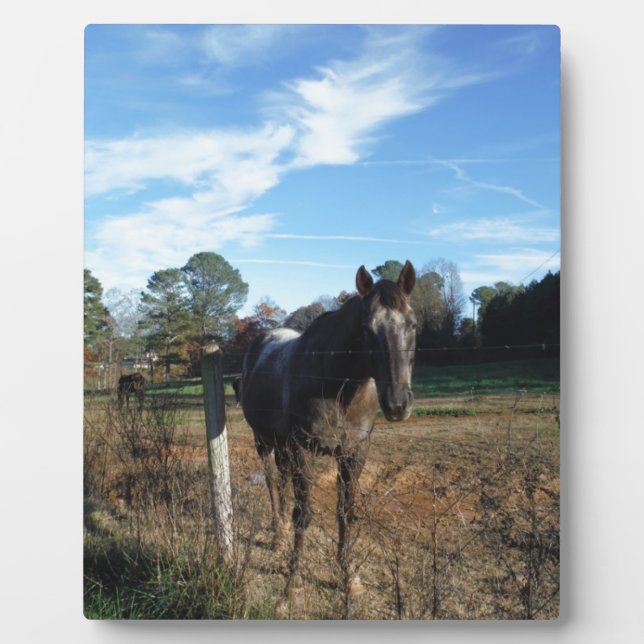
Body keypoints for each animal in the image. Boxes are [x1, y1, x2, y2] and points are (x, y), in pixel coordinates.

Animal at [241, 261, 417, 599]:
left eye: (412, 325)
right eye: (367, 328)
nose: (397, 404)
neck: (338, 385)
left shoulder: (354, 453)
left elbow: (345, 513)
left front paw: (348, 576)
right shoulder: (302, 448)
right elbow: (304, 513)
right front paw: (293, 579)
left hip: (282, 447)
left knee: (282, 479)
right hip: (264, 441)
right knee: (272, 482)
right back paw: (278, 535)